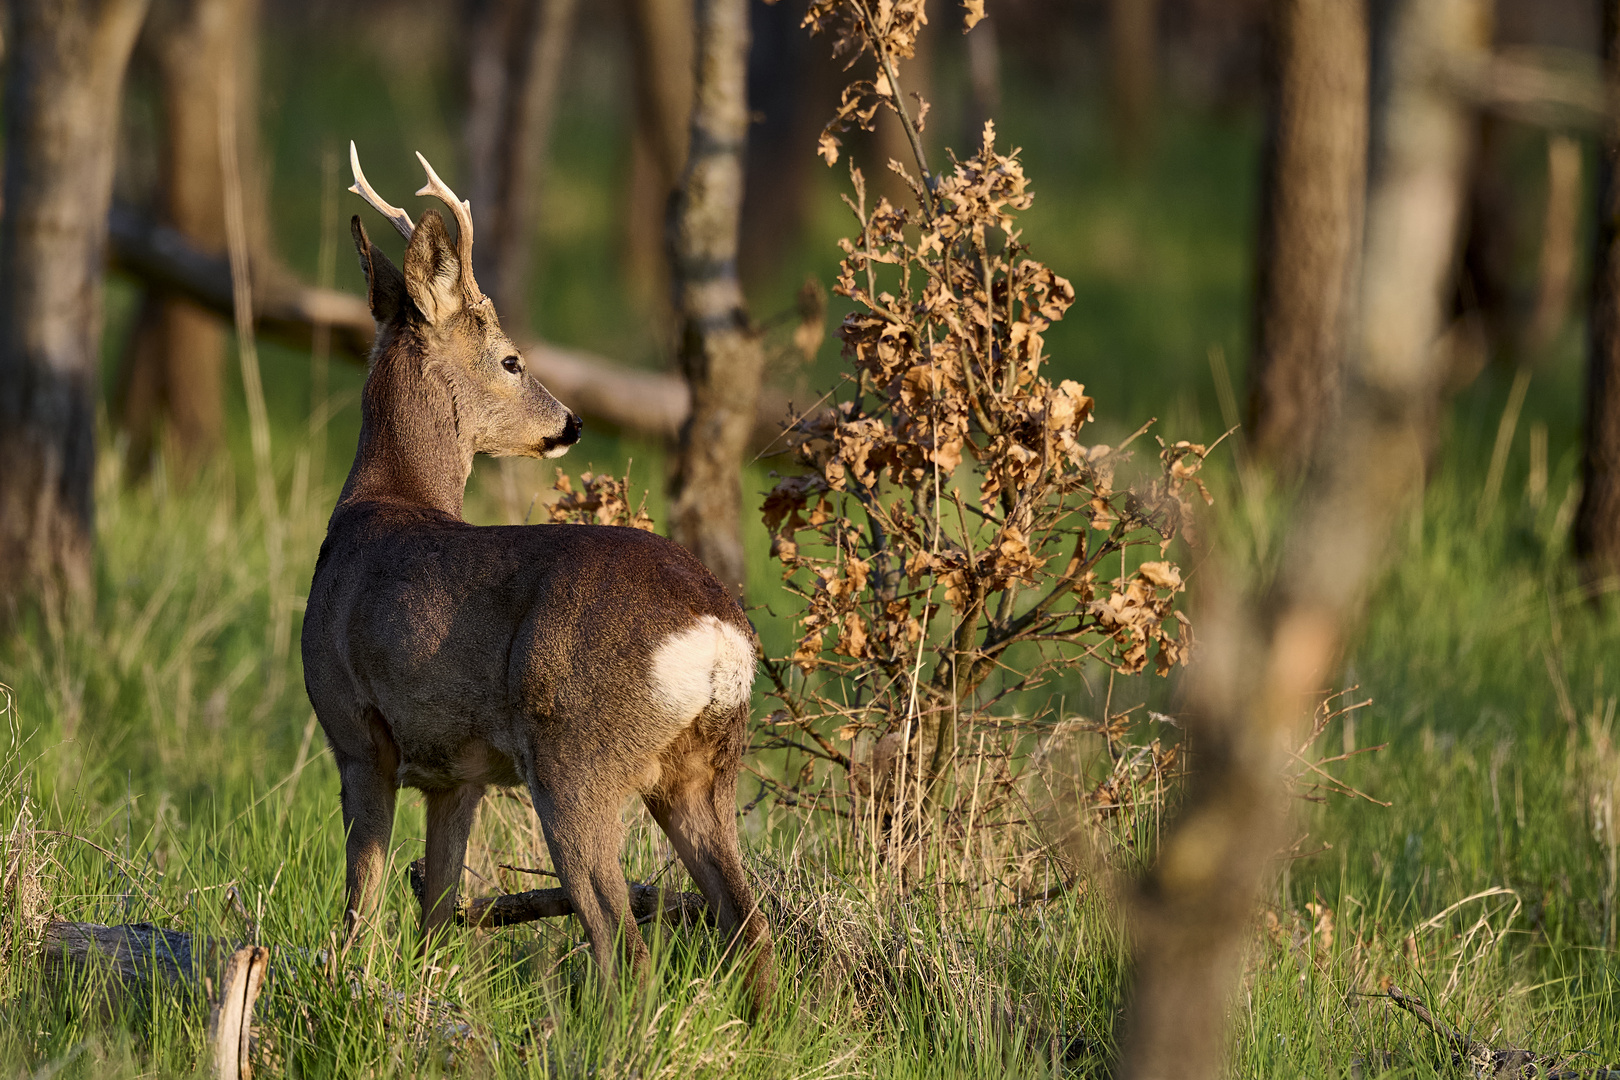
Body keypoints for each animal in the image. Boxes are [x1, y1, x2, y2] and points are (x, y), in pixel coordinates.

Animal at [304, 141, 777, 1016]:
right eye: (512, 359)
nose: (571, 422)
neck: (383, 501)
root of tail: (719, 635)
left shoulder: (356, 731)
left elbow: (363, 895)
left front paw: (342, 980)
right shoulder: (457, 774)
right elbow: (437, 907)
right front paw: (425, 996)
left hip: (575, 753)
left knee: (623, 941)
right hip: (705, 767)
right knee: (747, 921)